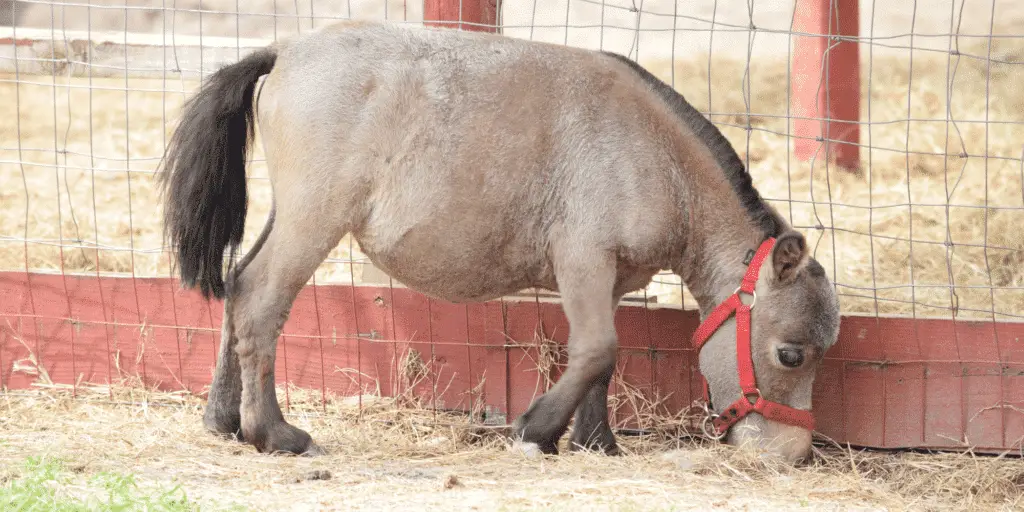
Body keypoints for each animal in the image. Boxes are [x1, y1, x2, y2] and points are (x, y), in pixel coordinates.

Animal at [159, 19, 839, 462]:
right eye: (790, 355)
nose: (791, 453)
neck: (658, 157)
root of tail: (285, 51)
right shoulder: (582, 262)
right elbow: (596, 350)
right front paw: (539, 428)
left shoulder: (614, 280)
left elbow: (604, 363)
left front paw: (596, 441)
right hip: (312, 223)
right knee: (260, 300)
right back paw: (273, 433)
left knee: (237, 285)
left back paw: (222, 418)